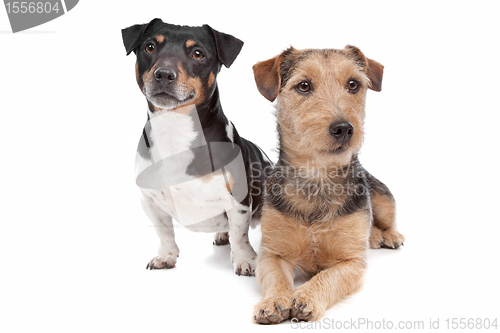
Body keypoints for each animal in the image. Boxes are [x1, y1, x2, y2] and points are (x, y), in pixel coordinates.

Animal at [122, 19, 272, 276]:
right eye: (150, 47)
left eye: (198, 53)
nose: (163, 74)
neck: (175, 129)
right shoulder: (150, 201)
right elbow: (164, 232)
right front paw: (166, 256)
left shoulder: (239, 201)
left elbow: (240, 236)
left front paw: (246, 260)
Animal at [252, 45, 404, 322]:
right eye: (303, 86)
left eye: (353, 84)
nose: (344, 128)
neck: (319, 180)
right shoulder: (272, 253)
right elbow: (277, 278)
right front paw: (274, 301)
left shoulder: (351, 262)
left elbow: (328, 276)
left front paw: (306, 297)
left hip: (383, 198)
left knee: (387, 220)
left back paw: (387, 235)